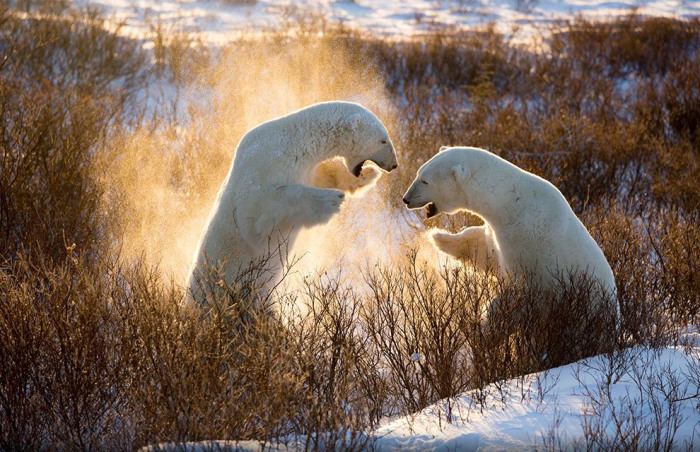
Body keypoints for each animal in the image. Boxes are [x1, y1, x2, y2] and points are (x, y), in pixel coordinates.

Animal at [186, 100, 396, 302]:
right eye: (383, 140)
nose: (394, 165)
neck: (294, 142)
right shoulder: (263, 165)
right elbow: (257, 213)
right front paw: (332, 199)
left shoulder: (306, 169)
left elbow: (324, 175)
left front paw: (368, 174)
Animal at [402, 147, 620, 320]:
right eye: (418, 173)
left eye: (425, 181)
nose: (406, 198)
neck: (510, 203)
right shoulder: (498, 233)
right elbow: (483, 250)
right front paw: (438, 237)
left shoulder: (527, 243)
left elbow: (520, 290)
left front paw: (487, 322)